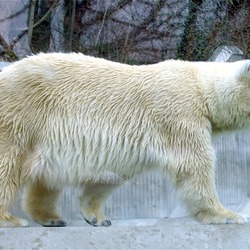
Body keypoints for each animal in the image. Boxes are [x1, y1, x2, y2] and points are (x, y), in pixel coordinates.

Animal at [0, 52, 250, 227]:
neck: (200, 87)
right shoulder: (179, 113)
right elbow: (194, 164)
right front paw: (228, 215)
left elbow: (113, 175)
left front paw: (96, 217)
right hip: (20, 114)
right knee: (8, 162)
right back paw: (10, 219)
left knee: (46, 177)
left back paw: (51, 217)